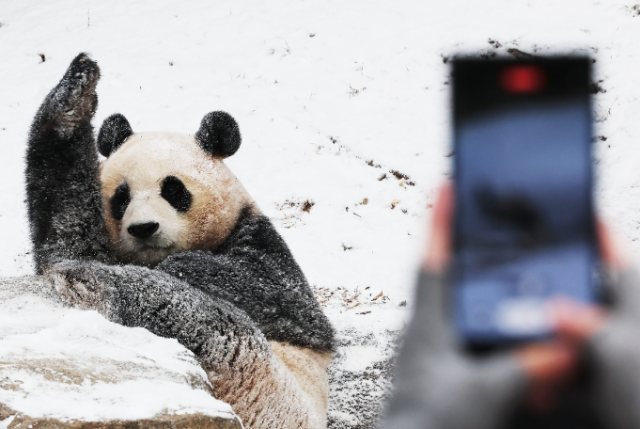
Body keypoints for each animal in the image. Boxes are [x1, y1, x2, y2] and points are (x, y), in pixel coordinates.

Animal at [25, 52, 336, 428]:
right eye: (120, 198)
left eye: (173, 190)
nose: (143, 228)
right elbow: (69, 223)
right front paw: (73, 99)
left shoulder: (259, 240)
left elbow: (284, 301)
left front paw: (181, 264)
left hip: (262, 380)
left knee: (194, 315)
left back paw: (94, 281)